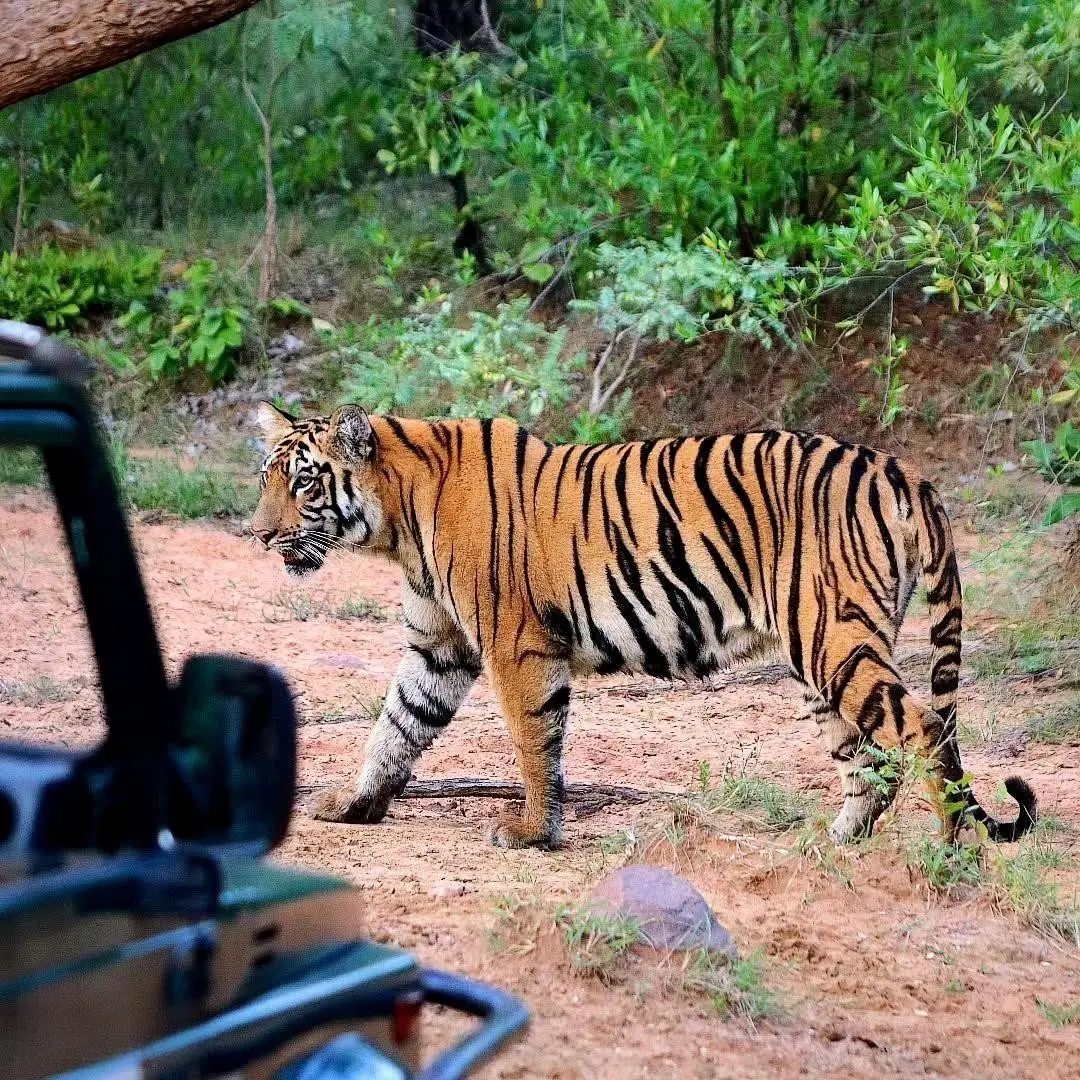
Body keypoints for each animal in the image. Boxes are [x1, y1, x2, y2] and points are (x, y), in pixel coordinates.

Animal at [248, 403, 1032, 851]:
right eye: (266, 477)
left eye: (305, 481)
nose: (256, 535)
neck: (398, 521)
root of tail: (902, 470)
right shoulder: (438, 648)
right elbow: (396, 726)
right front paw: (355, 806)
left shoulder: (515, 644)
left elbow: (534, 743)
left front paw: (532, 832)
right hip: (822, 652)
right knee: (870, 759)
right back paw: (831, 842)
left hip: (831, 636)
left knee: (923, 730)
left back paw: (951, 854)